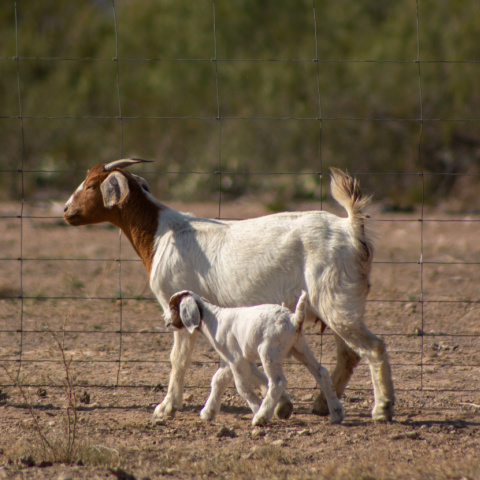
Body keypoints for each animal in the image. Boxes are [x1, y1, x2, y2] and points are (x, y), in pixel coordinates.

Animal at [167, 288, 344, 424]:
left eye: (174, 308)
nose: (167, 322)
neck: (213, 319)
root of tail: (294, 319)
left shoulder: (236, 358)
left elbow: (242, 387)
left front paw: (256, 406)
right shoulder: (230, 358)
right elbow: (218, 380)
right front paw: (208, 412)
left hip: (269, 352)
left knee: (278, 382)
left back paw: (261, 417)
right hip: (300, 347)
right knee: (321, 373)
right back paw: (336, 413)